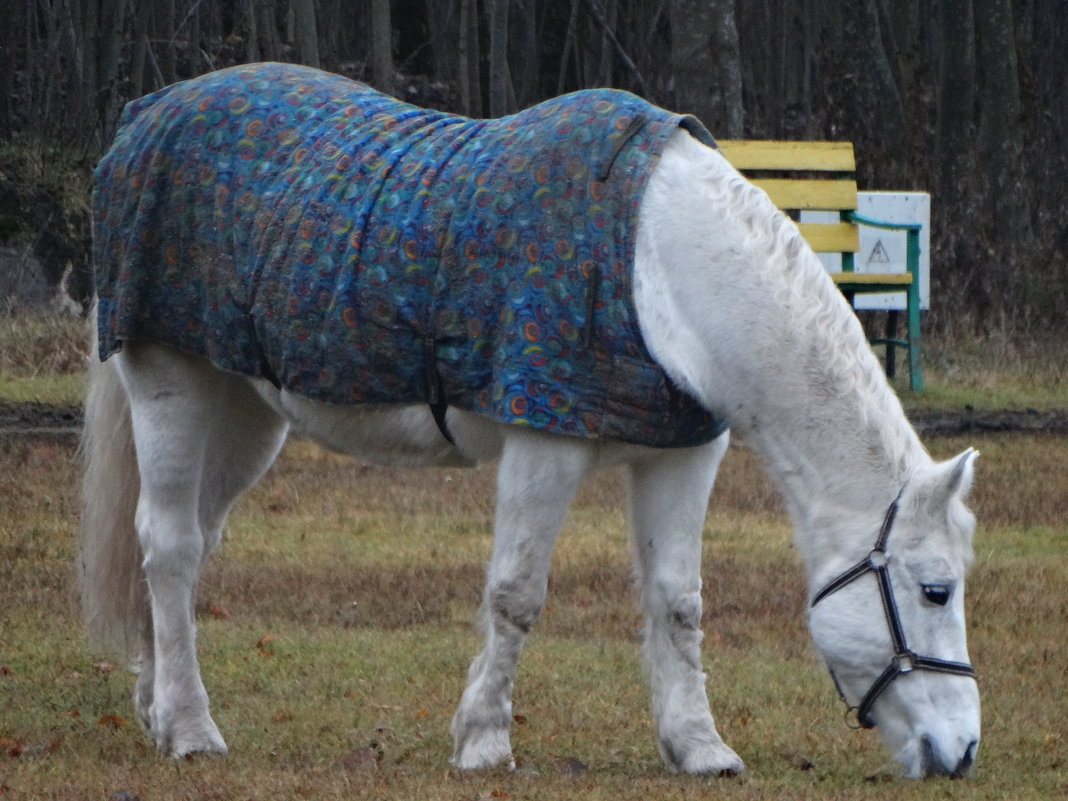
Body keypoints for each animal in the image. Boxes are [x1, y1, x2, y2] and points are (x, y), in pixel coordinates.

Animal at [79, 130, 978, 777]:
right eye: (934, 589)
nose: (962, 750)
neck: (660, 267)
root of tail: (146, 123)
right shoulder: (544, 447)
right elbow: (515, 594)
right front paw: (483, 741)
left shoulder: (681, 456)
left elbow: (677, 601)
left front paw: (699, 746)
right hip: (172, 387)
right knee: (168, 545)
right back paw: (192, 729)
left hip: (243, 415)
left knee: (187, 546)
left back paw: (159, 706)